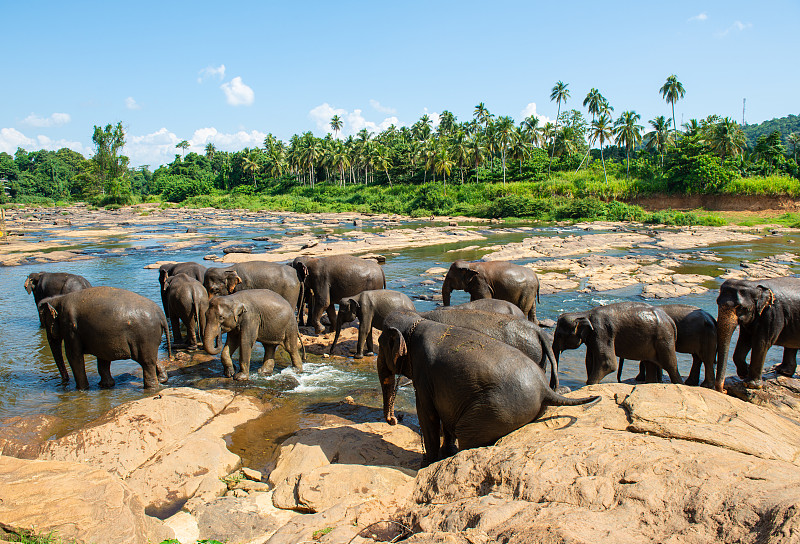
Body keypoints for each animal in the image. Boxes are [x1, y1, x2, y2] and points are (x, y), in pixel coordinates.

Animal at [36, 286, 171, 388]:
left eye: (45, 323)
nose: (65, 381)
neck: (58, 299)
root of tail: (161, 314)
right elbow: (103, 357)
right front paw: (105, 385)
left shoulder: (70, 328)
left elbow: (73, 355)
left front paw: (81, 389)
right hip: (149, 337)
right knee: (152, 357)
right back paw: (161, 379)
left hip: (145, 336)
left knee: (147, 362)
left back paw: (151, 387)